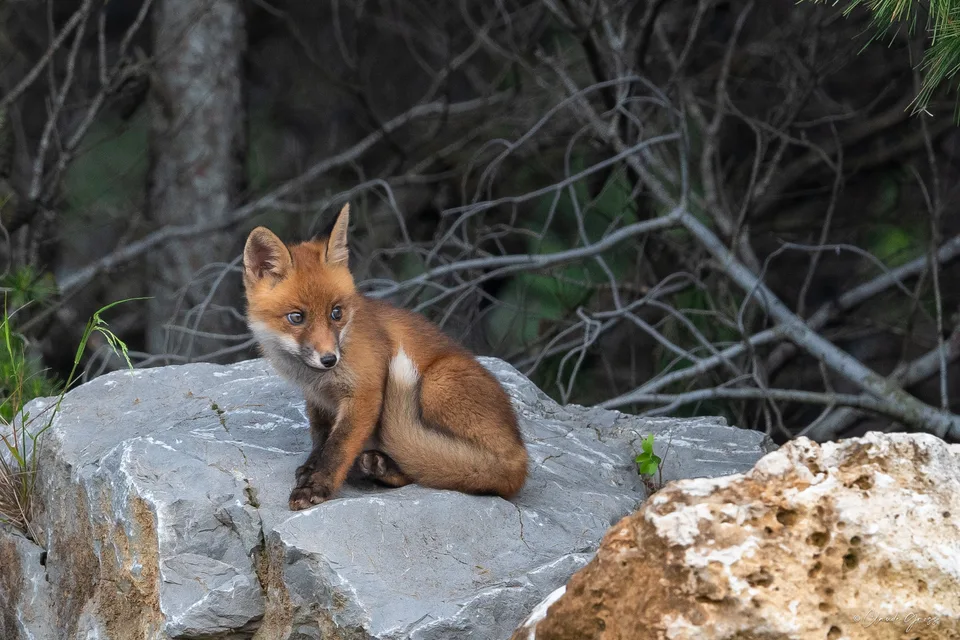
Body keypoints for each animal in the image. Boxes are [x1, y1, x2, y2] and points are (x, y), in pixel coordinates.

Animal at [242, 204, 529, 510]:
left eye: (336, 312)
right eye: (296, 318)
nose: (330, 359)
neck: (318, 379)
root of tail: (522, 459)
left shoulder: (365, 393)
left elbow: (337, 447)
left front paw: (317, 485)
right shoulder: (317, 401)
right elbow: (320, 440)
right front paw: (310, 468)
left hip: (437, 384)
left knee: (458, 470)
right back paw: (380, 467)